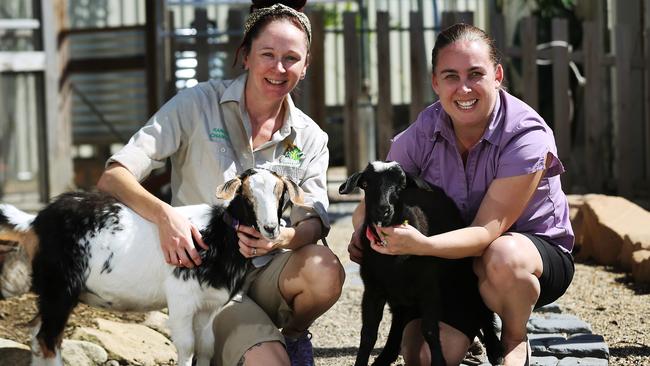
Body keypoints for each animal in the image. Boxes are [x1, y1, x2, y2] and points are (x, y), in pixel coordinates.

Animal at [0, 168, 306, 366]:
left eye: (280, 193)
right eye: (246, 194)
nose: (270, 228)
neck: (216, 235)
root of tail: (35, 221)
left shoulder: (209, 306)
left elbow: (206, 347)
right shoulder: (181, 299)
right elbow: (187, 347)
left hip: (50, 292)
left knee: (36, 334)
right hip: (60, 288)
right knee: (48, 339)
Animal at [336, 162, 498, 366]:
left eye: (401, 185)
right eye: (366, 184)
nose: (383, 210)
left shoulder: (428, 289)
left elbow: (429, 331)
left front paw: (439, 362)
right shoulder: (373, 290)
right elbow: (368, 335)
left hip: (466, 274)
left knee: (483, 310)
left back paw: (497, 352)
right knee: (398, 322)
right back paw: (384, 357)